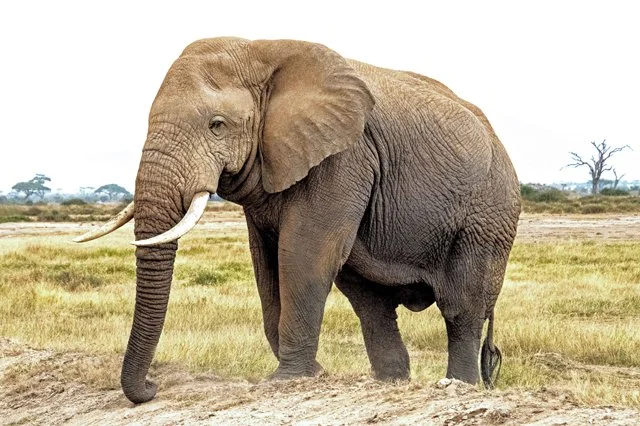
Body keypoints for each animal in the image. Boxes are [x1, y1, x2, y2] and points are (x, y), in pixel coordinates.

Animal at [75, 37, 521, 404]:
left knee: (461, 305)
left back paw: (457, 386)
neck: (261, 52)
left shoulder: (343, 156)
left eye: (216, 126)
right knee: (370, 303)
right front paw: (311, 375)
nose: (152, 388)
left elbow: (303, 252)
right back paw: (389, 384)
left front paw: (288, 381)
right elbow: (266, 262)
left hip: (490, 213)